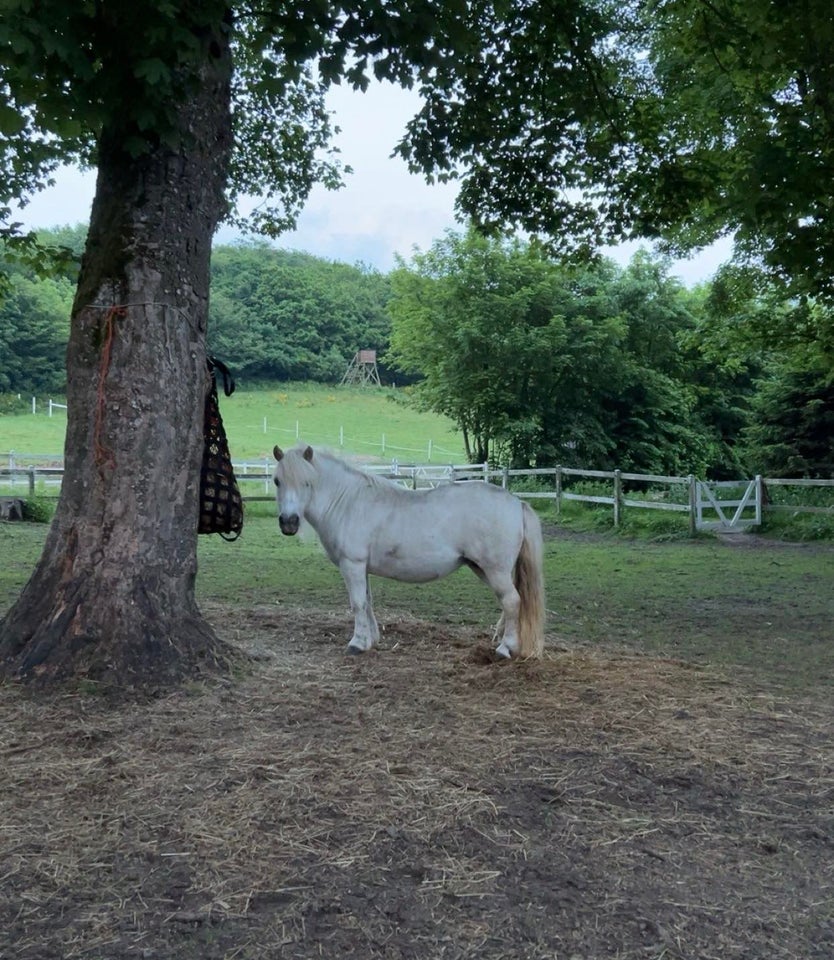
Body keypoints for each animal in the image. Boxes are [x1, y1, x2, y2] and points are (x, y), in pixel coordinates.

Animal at [272, 444, 544, 660]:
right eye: (277, 481)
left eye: (307, 482)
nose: (288, 522)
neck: (347, 502)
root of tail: (516, 503)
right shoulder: (362, 568)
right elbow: (367, 602)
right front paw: (371, 640)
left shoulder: (352, 565)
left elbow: (357, 604)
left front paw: (357, 644)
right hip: (483, 569)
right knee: (510, 602)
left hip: (495, 570)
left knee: (512, 601)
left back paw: (505, 649)